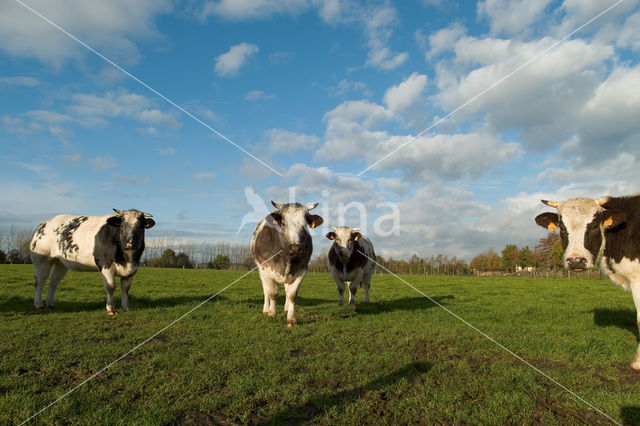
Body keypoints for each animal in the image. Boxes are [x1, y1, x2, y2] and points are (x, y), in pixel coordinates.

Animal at [28, 208, 156, 314]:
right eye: (122, 226)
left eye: (140, 226)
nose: (130, 243)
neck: (127, 259)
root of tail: (44, 224)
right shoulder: (105, 264)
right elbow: (111, 286)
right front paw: (110, 309)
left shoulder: (133, 267)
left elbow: (126, 288)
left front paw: (126, 307)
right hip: (41, 260)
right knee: (40, 282)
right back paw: (39, 304)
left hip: (61, 263)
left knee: (53, 282)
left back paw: (50, 304)